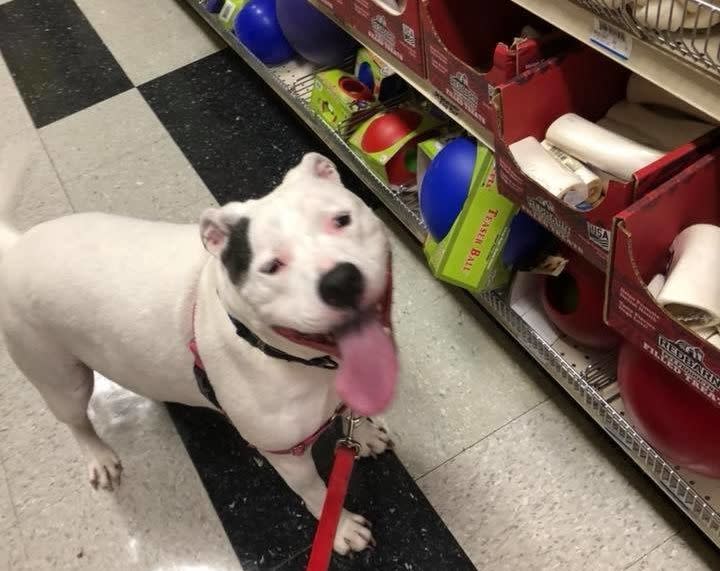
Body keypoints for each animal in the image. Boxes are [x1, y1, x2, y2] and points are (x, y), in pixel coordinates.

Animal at [0, 151, 394, 556]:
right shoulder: (286, 454)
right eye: (271, 267)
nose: (340, 281)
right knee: (77, 420)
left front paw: (364, 436)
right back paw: (99, 455)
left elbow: (351, 413)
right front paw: (340, 527)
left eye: (342, 220)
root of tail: (17, 246)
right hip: (59, 377)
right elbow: (316, 491)